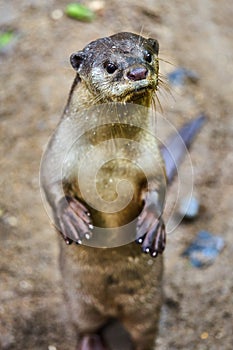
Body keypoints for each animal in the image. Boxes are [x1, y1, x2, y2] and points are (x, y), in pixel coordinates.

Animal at [41, 31, 205, 348]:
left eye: (148, 56)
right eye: (109, 65)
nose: (138, 71)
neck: (109, 160)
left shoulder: (151, 156)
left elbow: (158, 186)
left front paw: (151, 225)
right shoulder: (57, 150)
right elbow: (50, 183)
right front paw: (72, 218)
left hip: (147, 306)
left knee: (144, 333)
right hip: (78, 302)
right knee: (86, 325)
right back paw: (90, 342)